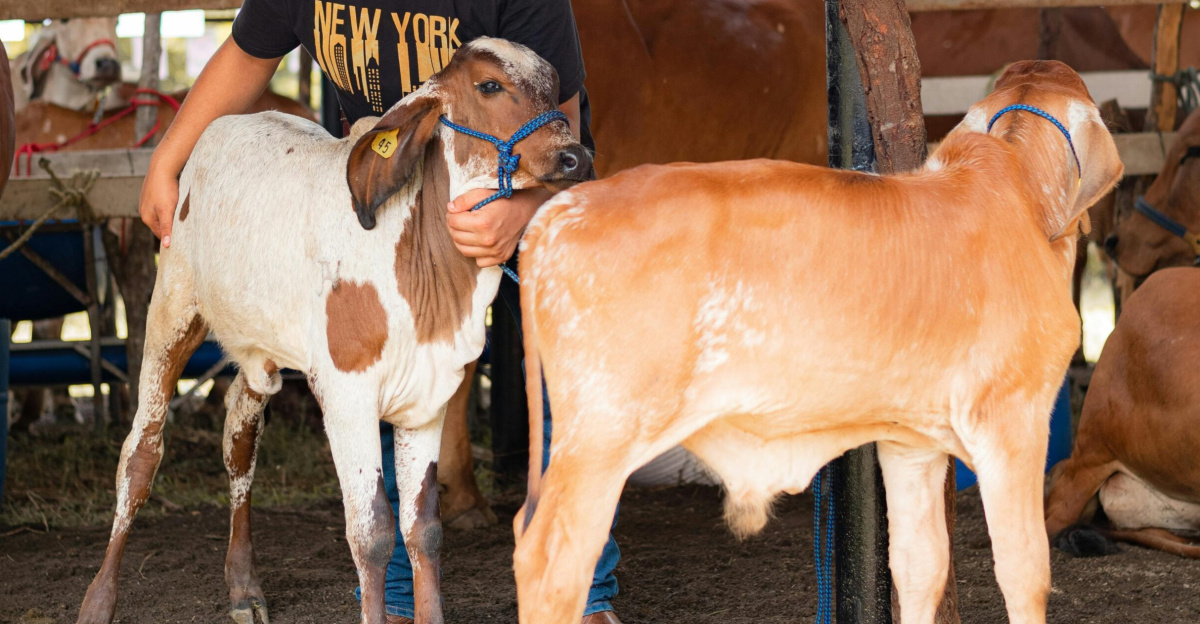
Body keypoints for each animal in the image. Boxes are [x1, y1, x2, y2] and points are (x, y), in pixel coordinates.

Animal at [509, 60, 1122, 624]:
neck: (1021, 195)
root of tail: (556, 212)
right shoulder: (1014, 422)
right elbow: (1025, 570)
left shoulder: (910, 441)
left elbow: (919, 566)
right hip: (603, 433)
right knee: (550, 559)